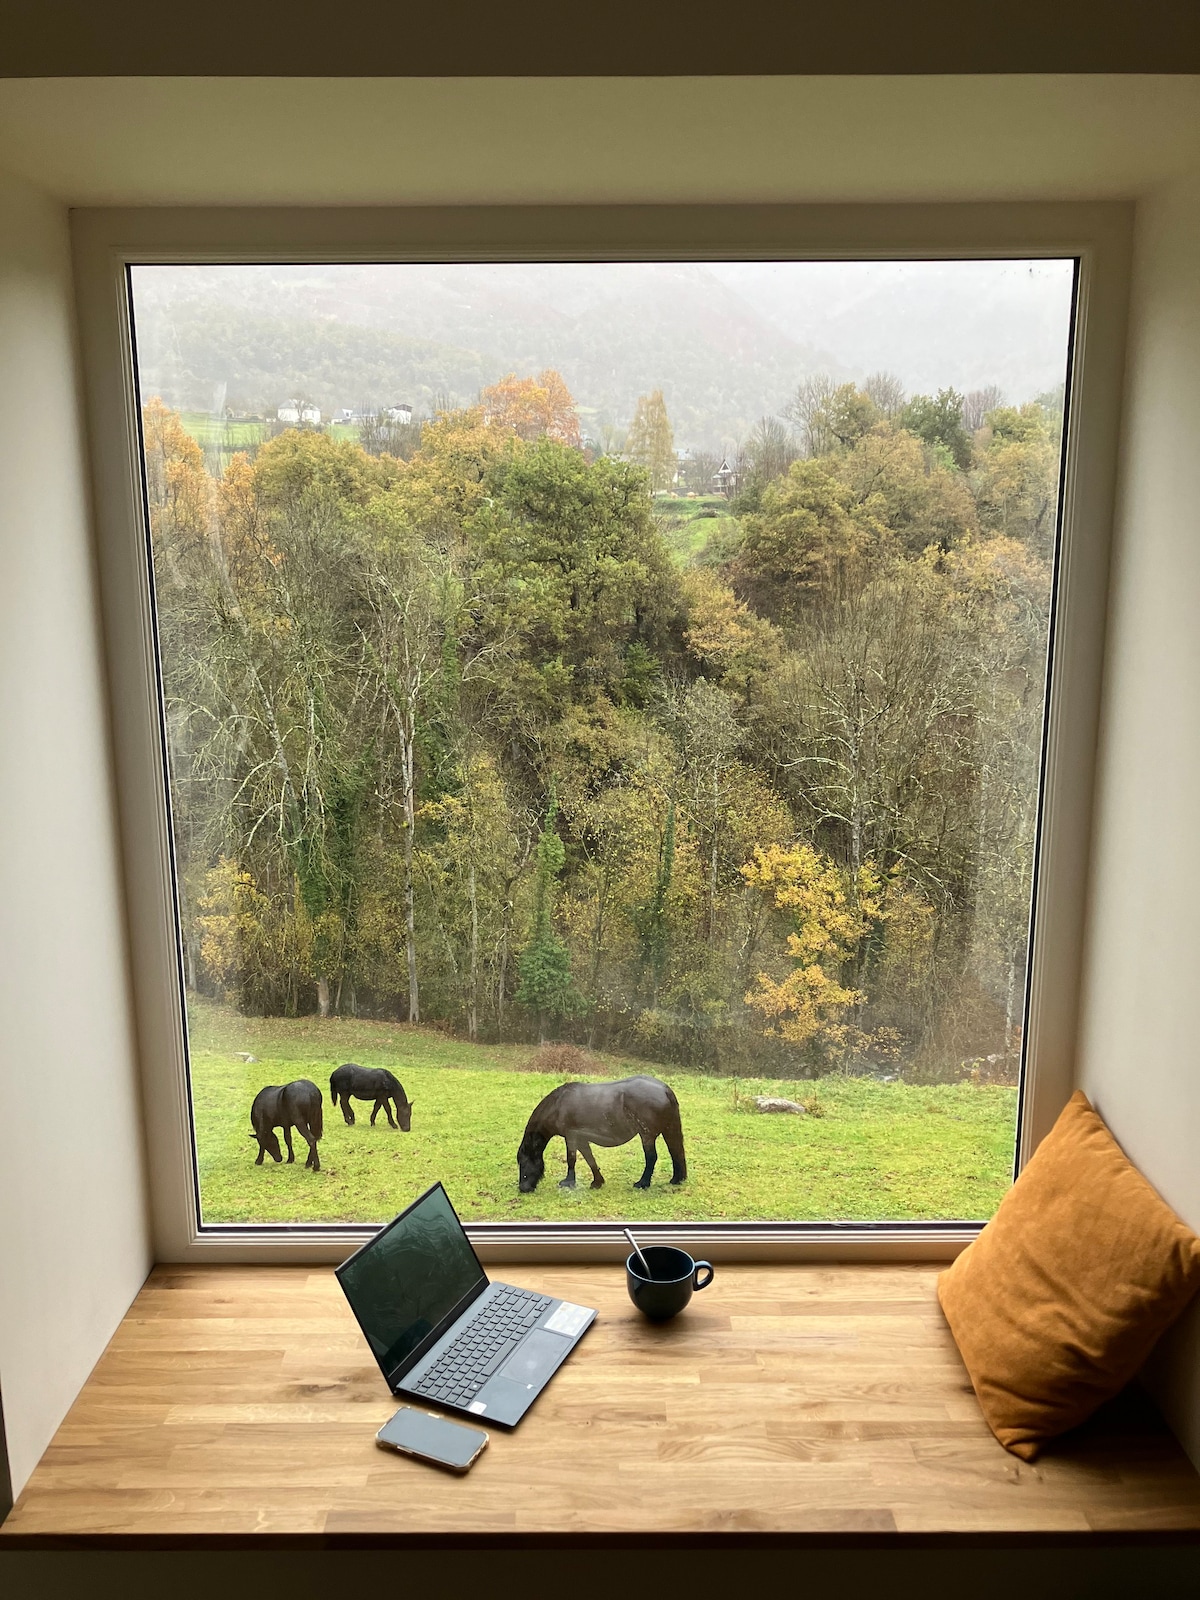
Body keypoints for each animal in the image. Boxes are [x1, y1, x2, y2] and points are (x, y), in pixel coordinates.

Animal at [515, 1075, 684, 1190]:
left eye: (523, 1162)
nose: (523, 1188)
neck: (558, 1105)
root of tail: (664, 1089)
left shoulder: (571, 1137)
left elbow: (572, 1159)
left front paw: (569, 1182)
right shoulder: (581, 1139)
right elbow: (590, 1158)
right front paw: (597, 1181)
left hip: (647, 1135)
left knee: (651, 1157)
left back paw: (643, 1183)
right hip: (668, 1131)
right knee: (675, 1152)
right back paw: (676, 1179)